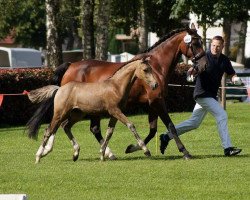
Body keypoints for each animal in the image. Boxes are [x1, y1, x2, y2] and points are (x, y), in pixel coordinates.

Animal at [28, 56, 158, 162]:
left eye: (151, 69)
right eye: (145, 70)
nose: (155, 85)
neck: (116, 86)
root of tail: (59, 88)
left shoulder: (115, 114)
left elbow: (109, 132)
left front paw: (103, 154)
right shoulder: (115, 111)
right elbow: (131, 125)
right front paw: (146, 150)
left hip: (77, 114)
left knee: (65, 126)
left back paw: (75, 154)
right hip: (61, 113)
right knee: (49, 130)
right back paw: (39, 156)